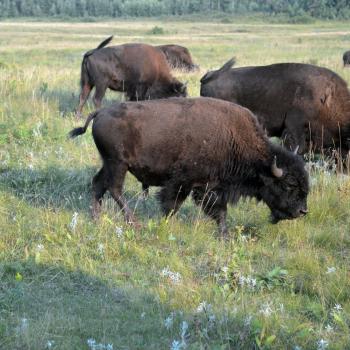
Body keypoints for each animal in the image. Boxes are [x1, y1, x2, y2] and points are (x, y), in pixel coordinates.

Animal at [69, 97, 308, 237]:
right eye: (289, 185)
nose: (302, 211)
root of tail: (100, 112)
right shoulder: (184, 182)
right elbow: (172, 205)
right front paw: (165, 224)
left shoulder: (213, 188)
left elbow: (220, 212)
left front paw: (224, 235)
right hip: (118, 163)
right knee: (114, 188)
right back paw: (133, 224)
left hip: (109, 163)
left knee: (98, 185)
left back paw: (96, 218)